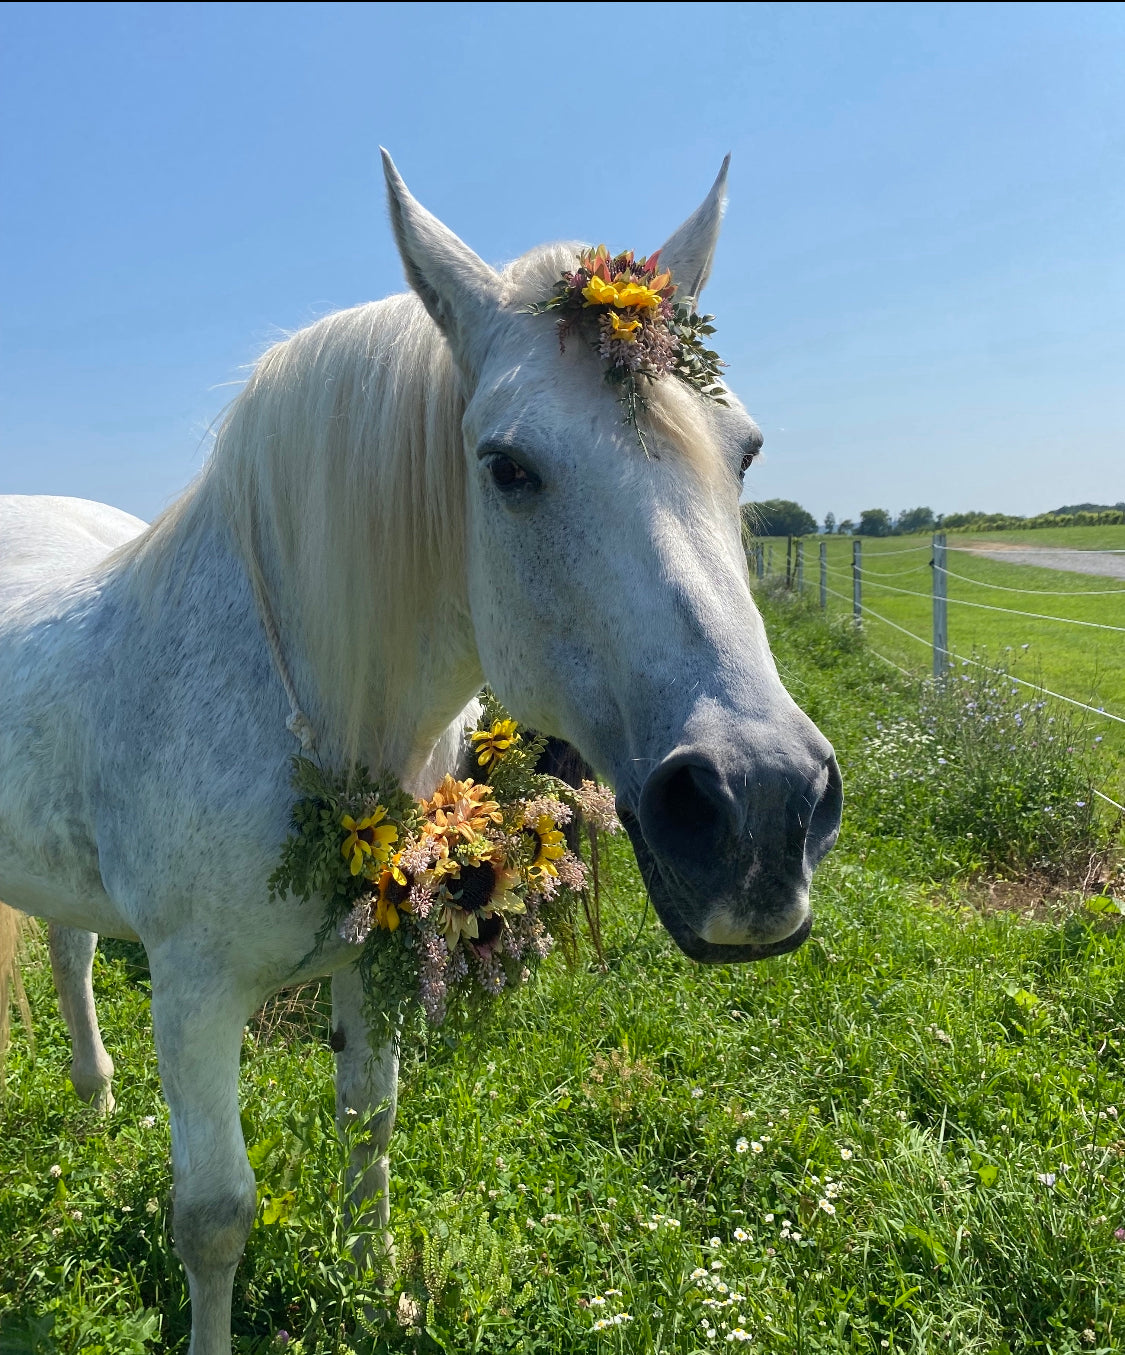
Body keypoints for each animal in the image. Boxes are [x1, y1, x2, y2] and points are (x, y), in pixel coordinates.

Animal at [0, 153, 840, 1349]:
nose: (763, 808)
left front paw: (368, 1289)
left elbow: (371, 1121)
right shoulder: (193, 994)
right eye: (507, 467)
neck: (311, 713)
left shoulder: (374, 952)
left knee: (69, 948)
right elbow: (214, 1215)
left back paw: (96, 1098)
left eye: (746, 453)